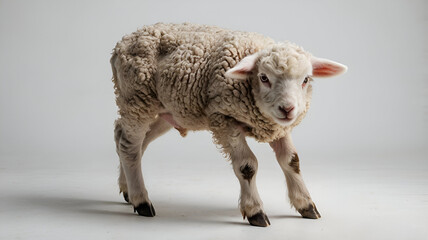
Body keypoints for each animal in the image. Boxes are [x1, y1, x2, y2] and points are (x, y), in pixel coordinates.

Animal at [110, 23, 348, 227]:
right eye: (263, 78)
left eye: (306, 79)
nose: (287, 109)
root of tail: (122, 43)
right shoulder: (224, 120)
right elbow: (247, 165)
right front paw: (255, 211)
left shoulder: (279, 127)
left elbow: (291, 160)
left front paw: (305, 204)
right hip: (137, 99)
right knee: (129, 148)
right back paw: (141, 201)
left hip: (167, 111)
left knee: (128, 140)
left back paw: (127, 189)